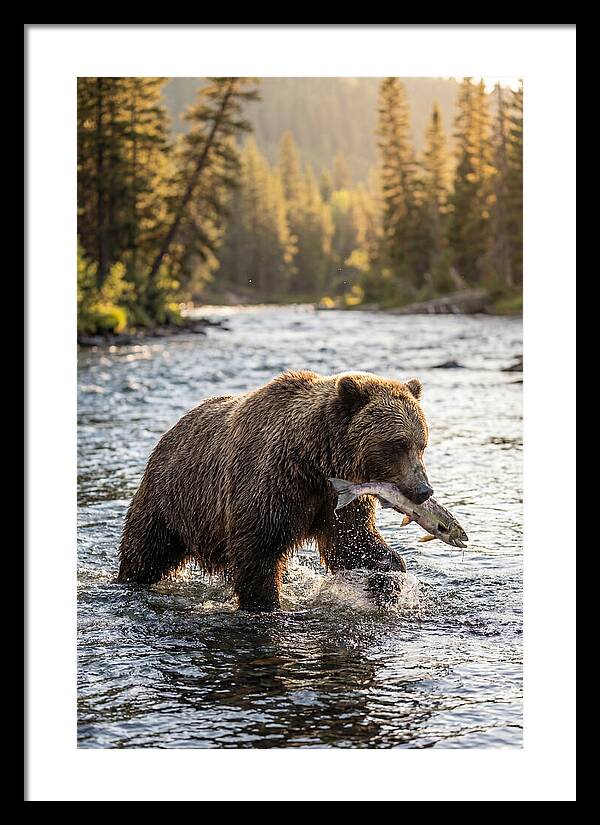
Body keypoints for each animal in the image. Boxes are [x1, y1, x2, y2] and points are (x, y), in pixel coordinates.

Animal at [117, 370, 433, 611]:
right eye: (398, 443)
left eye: (422, 443)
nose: (423, 490)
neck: (314, 461)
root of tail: (171, 430)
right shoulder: (271, 484)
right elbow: (258, 551)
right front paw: (265, 603)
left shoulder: (337, 498)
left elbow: (353, 542)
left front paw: (388, 582)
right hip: (171, 499)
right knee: (145, 550)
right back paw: (129, 580)